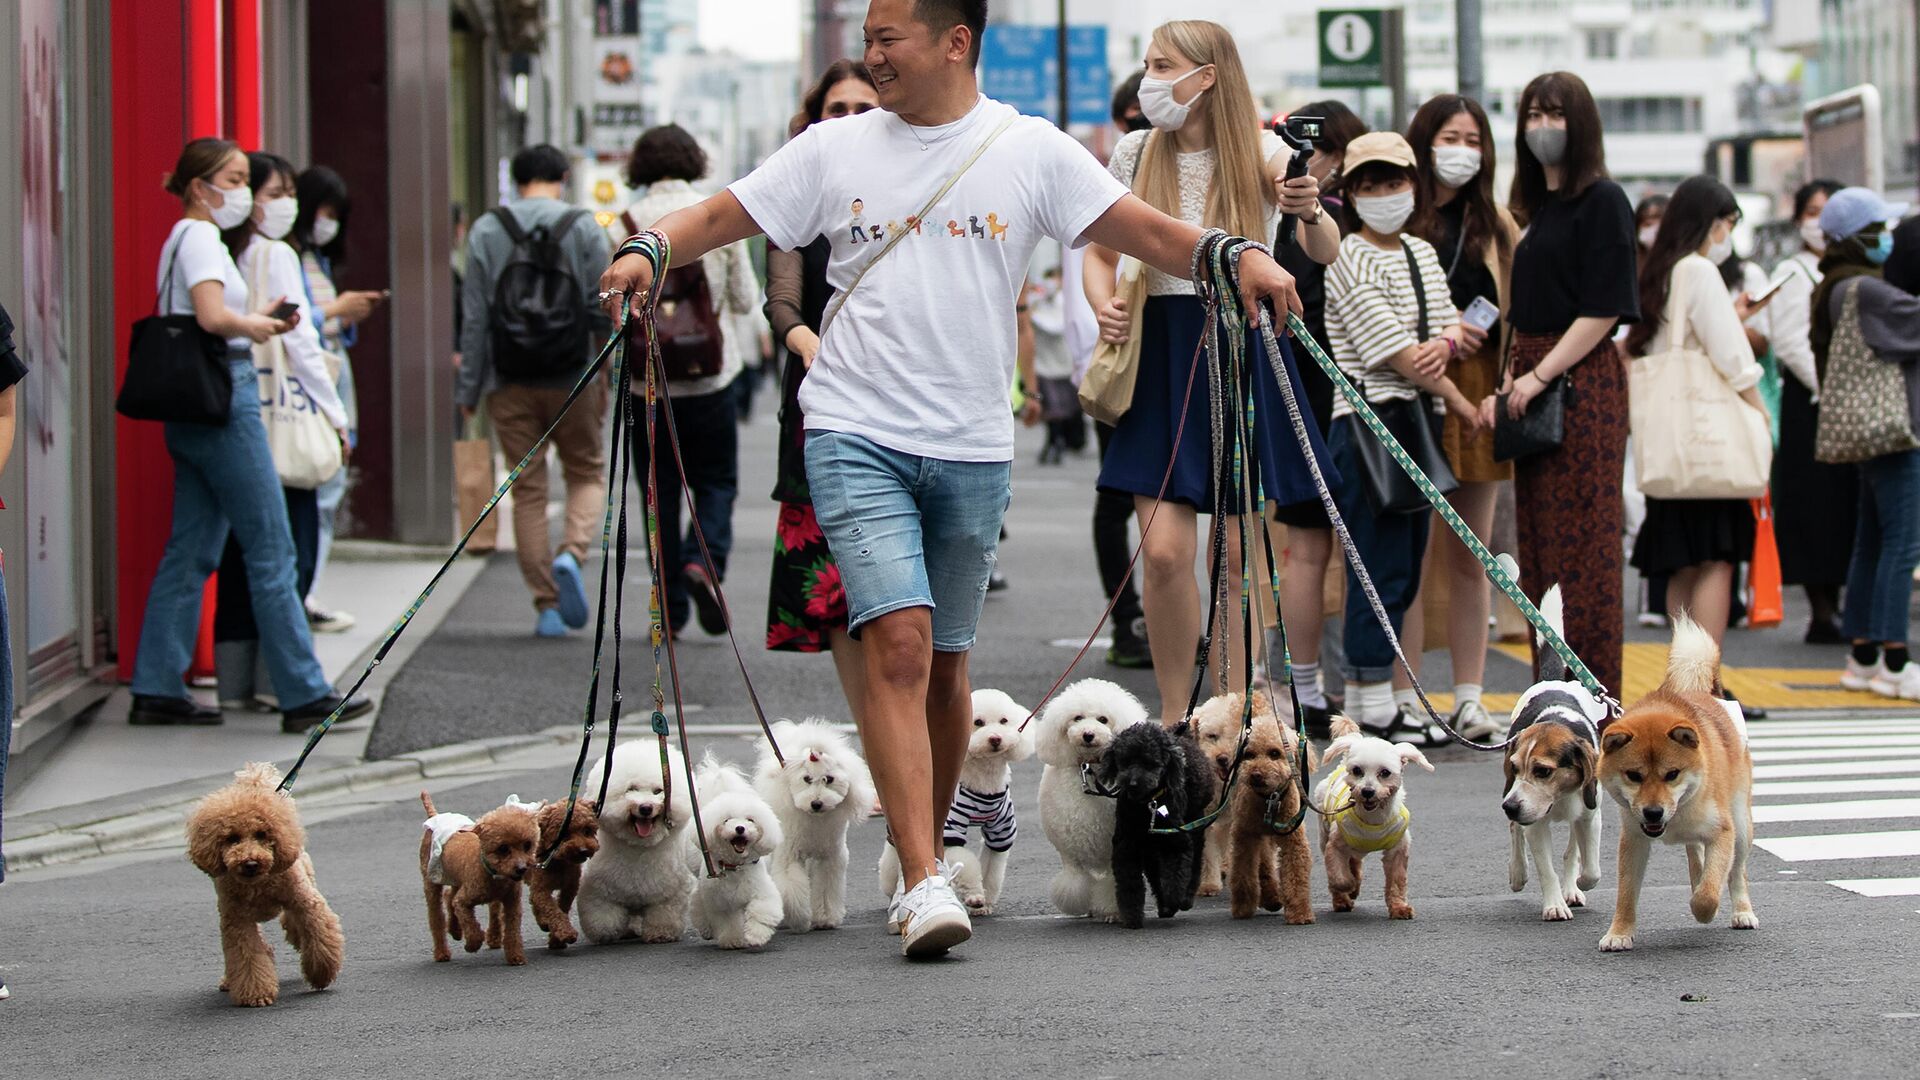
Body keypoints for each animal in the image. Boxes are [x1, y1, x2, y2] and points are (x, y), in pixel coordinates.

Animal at [576, 737, 698, 941]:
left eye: (658, 791)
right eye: (631, 789)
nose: (646, 808)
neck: (639, 848)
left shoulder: (670, 894)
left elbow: (664, 914)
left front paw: (660, 933)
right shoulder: (598, 890)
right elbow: (603, 917)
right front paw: (605, 933)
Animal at [691, 753, 787, 945]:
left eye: (750, 820)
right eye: (726, 820)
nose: (740, 828)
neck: (734, 867)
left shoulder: (762, 892)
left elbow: (761, 910)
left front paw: (756, 935)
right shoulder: (721, 903)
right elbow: (728, 922)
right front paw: (732, 940)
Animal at [748, 714, 879, 926]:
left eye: (829, 779)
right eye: (807, 779)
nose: (816, 803)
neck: (815, 821)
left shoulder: (830, 857)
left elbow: (825, 887)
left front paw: (825, 917)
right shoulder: (791, 855)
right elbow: (791, 887)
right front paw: (798, 917)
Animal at [879, 687, 1036, 907]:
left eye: (1004, 720)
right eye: (978, 722)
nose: (995, 738)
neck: (983, 781)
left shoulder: (1001, 829)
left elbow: (992, 866)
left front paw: (985, 900)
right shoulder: (950, 827)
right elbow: (967, 862)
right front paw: (975, 895)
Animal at [1036, 672, 1136, 914]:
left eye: (1103, 719)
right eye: (1077, 718)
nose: (1088, 735)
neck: (1089, 769)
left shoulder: (1114, 849)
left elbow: (1112, 881)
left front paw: (1112, 910)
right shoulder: (1068, 847)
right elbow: (1074, 879)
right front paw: (1076, 902)